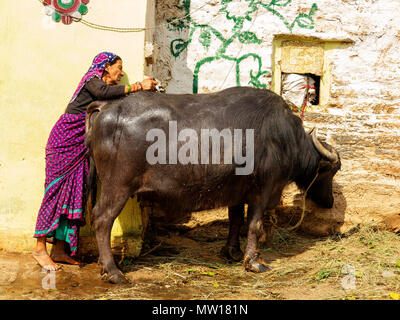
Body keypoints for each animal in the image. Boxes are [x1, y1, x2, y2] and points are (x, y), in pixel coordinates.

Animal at [85, 87, 340, 282]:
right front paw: (255, 262)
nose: (330, 202)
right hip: (117, 187)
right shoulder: (262, 189)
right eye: (331, 171)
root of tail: (106, 109)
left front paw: (233, 251)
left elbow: (236, 220)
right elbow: (254, 225)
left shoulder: (237, 191)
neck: (284, 139)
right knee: (102, 219)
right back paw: (113, 271)